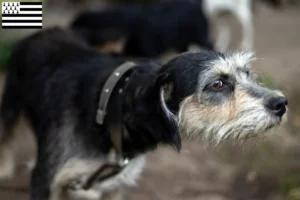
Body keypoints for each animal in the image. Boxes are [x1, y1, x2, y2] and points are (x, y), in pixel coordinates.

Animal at [0, 27, 288, 200]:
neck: (110, 110)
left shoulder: (113, 186)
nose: (282, 103)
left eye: (247, 73)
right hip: (10, 103)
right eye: (217, 84)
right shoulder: (43, 179)